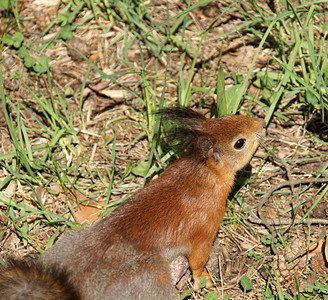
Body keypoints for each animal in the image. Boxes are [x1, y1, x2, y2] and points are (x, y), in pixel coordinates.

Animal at [0, 106, 266, 298]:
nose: (262, 124)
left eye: (231, 115)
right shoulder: (204, 228)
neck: (202, 172)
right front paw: (203, 280)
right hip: (150, 273)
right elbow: (198, 260)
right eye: (239, 143)